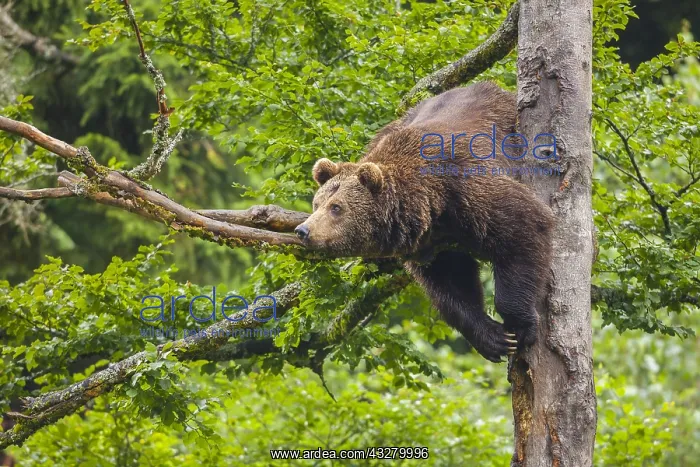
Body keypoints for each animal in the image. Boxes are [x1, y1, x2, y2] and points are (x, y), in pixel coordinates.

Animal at [294, 82, 555, 362]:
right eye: (317, 203)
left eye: (336, 207)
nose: (303, 230)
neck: (430, 200)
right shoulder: (432, 240)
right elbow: (451, 281)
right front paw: (492, 338)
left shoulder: (467, 186)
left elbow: (522, 226)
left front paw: (519, 327)